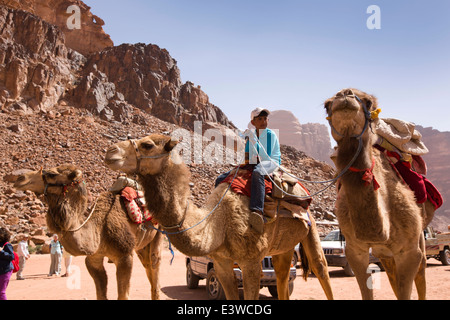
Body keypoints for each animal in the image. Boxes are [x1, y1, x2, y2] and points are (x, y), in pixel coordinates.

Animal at [12, 165, 165, 300]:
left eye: (52, 174)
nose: (20, 178)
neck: (99, 230)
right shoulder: (93, 258)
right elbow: (101, 295)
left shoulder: (124, 255)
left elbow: (123, 296)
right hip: (141, 244)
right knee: (147, 265)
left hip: (158, 232)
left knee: (154, 263)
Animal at [103, 132, 334, 300]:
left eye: (148, 145)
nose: (110, 151)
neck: (217, 224)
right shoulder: (222, 262)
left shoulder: (251, 261)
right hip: (283, 248)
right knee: (282, 273)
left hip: (310, 224)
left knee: (320, 267)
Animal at [324, 88, 436, 300]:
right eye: (327, 105)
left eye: (368, 102)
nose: (344, 94)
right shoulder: (355, 250)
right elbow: (366, 292)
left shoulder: (409, 252)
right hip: (385, 254)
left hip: (418, 240)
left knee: (422, 275)